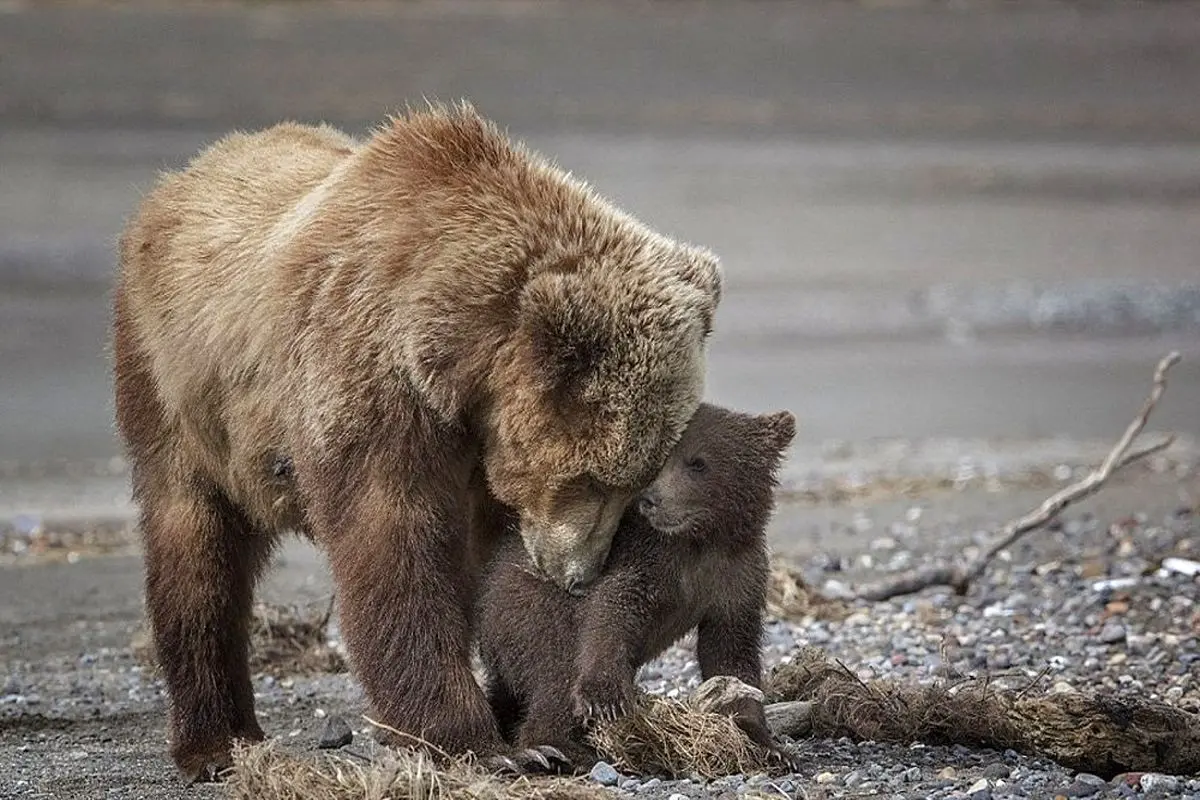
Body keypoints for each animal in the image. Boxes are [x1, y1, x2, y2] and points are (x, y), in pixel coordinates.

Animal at [112, 103, 720, 777]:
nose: (580, 575)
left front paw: (538, 728)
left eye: (639, 479)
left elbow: (498, 573)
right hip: (176, 388)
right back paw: (218, 740)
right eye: (592, 478)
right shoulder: (366, 379)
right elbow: (394, 545)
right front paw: (475, 742)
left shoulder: (482, 451)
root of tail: (184, 176)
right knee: (196, 547)